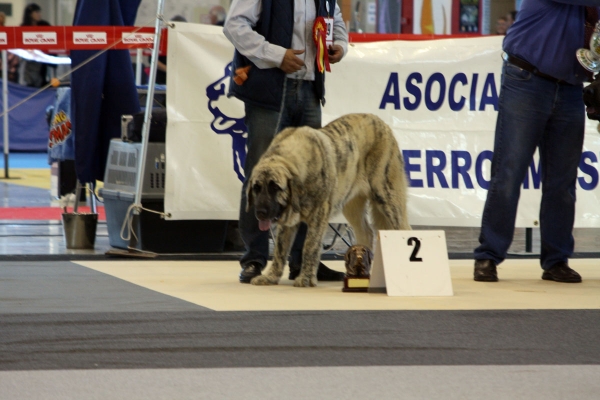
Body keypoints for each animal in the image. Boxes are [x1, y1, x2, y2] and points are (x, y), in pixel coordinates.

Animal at [246, 113, 410, 288]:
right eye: (256, 188)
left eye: (275, 188)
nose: (260, 212)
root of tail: (383, 124)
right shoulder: (287, 222)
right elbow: (280, 251)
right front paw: (271, 277)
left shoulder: (319, 216)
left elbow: (309, 247)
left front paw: (305, 279)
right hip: (352, 205)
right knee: (366, 232)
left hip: (388, 197)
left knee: (404, 229)